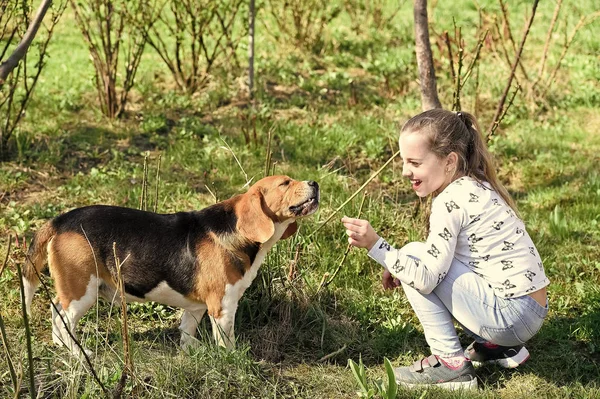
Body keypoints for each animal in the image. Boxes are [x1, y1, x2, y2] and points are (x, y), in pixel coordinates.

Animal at [22, 175, 322, 354]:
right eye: (285, 183)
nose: (315, 182)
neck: (236, 231)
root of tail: (60, 220)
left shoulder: (196, 308)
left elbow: (187, 333)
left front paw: (191, 354)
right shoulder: (223, 307)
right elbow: (227, 342)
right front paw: (232, 361)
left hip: (73, 290)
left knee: (56, 311)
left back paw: (61, 347)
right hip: (82, 291)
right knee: (64, 320)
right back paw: (77, 353)